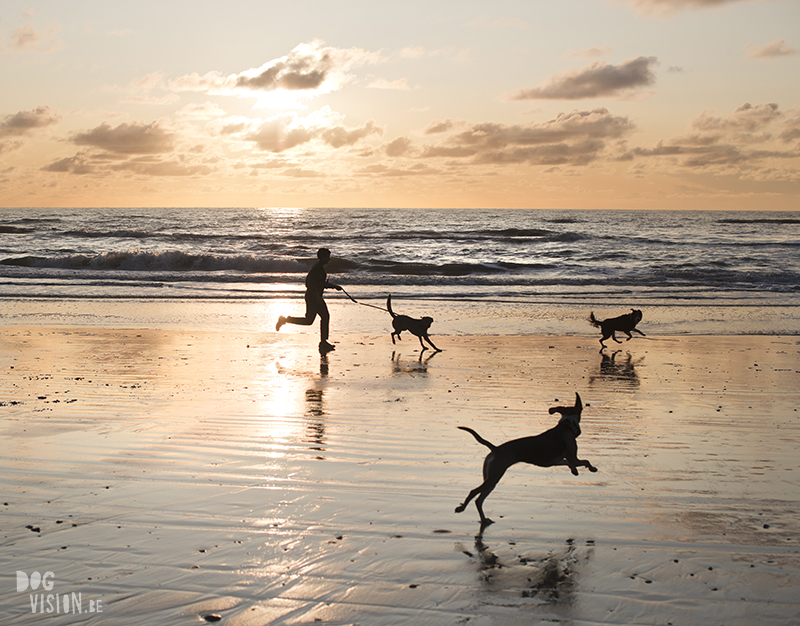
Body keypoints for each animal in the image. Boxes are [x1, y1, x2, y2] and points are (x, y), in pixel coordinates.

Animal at [456, 392, 592, 524]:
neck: (567, 425)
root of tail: (496, 448)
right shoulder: (573, 457)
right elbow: (585, 461)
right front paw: (591, 468)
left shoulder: (556, 461)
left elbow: (569, 463)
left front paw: (576, 470)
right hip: (494, 476)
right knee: (474, 492)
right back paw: (461, 508)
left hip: (491, 478)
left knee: (479, 500)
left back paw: (484, 519)